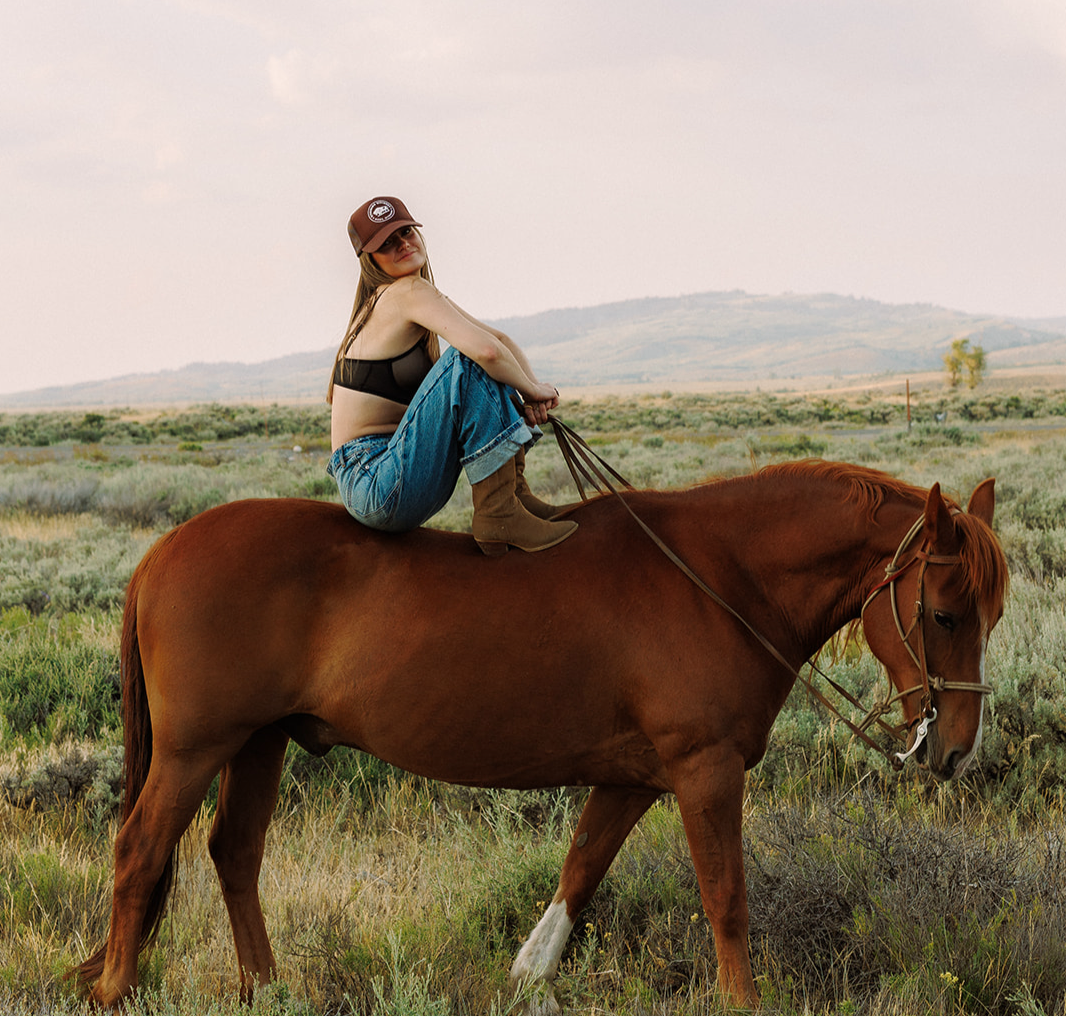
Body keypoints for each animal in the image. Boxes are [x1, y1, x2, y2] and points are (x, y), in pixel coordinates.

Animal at [75, 464, 1006, 1010]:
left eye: (991, 614)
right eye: (943, 613)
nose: (956, 749)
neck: (719, 577)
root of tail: (160, 552)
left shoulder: (634, 778)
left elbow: (580, 868)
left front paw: (529, 971)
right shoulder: (704, 771)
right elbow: (726, 897)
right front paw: (742, 999)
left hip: (259, 742)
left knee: (234, 852)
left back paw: (266, 987)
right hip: (196, 750)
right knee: (141, 850)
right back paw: (118, 987)